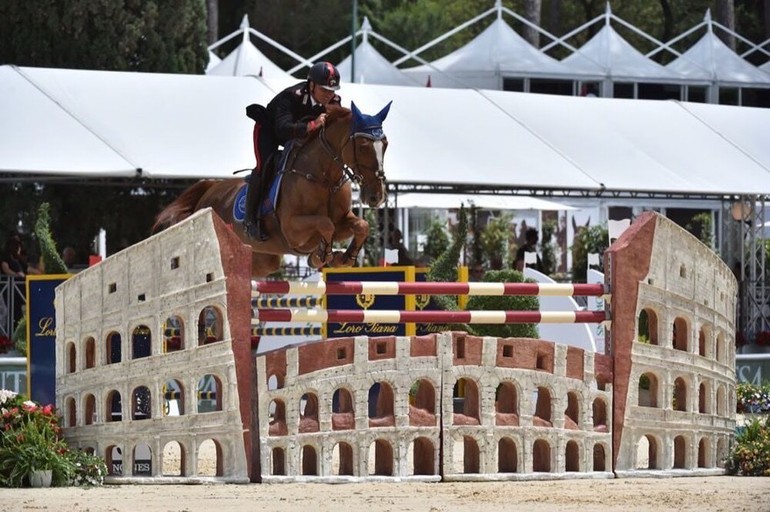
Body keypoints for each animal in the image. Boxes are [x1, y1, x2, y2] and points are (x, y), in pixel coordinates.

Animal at [152, 101, 390, 278]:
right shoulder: (293, 229)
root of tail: (209, 189)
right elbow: (326, 224)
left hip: (265, 259)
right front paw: (322, 255)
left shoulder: (342, 220)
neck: (324, 178)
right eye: (363, 146)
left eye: (385, 144)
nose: (376, 196)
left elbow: (361, 225)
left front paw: (344, 257)